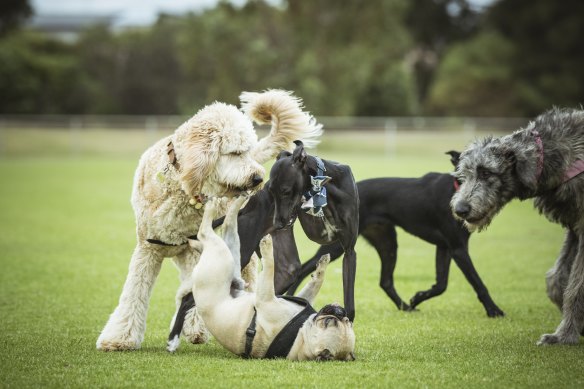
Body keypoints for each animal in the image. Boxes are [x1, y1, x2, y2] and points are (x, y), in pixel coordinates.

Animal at [97, 90, 322, 348]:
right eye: (235, 152)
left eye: (247, 151)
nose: (257, 179)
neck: (183, 187)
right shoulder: (147, 249)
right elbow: (134, 293)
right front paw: (119, 338)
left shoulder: (201, 252)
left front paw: (197, 325)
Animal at [170, 196, 356, 360]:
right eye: (346, 320)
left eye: (329, 323)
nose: (340, 311)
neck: (300, 337)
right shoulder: (299, 297)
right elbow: (315, 284)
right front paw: (321, 267)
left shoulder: (265, 296)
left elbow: (270, 267)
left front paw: (267, 247)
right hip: (235, 253)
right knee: (229, 223)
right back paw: (238, 200)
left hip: (221, 256)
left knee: (205, 232)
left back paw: (212, 209)